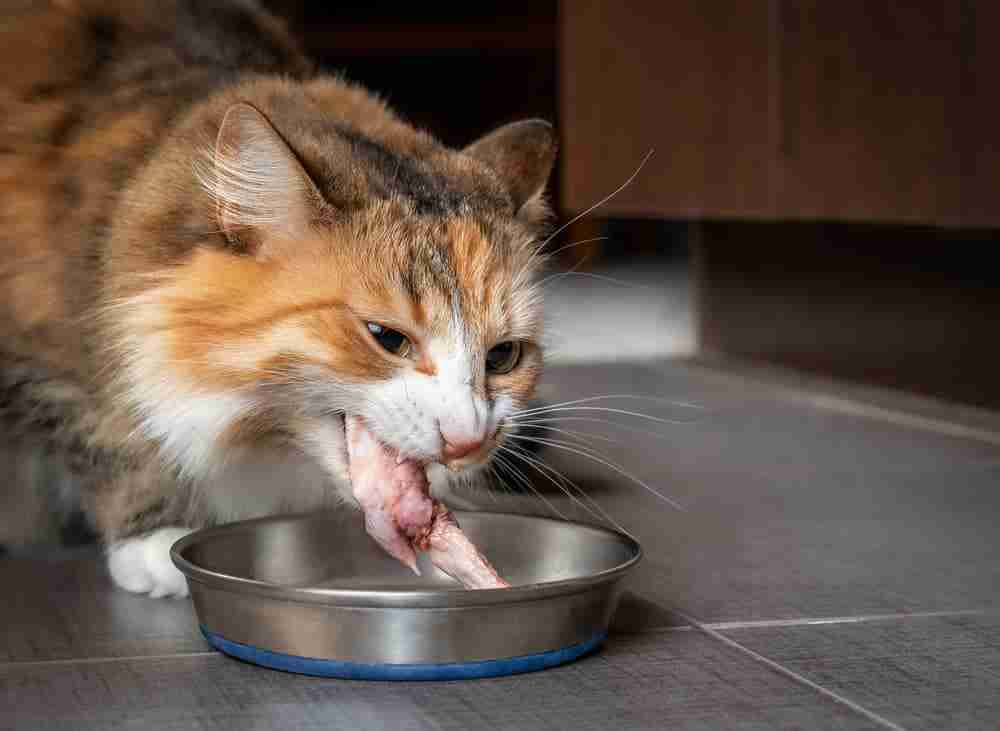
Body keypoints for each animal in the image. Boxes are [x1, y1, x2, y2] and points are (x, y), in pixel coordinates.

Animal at [0, 0, 556, 596]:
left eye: (503, 357)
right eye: (386, 338)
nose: (468, 441)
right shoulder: (40, 364)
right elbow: (105, 432)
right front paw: (155, 537)